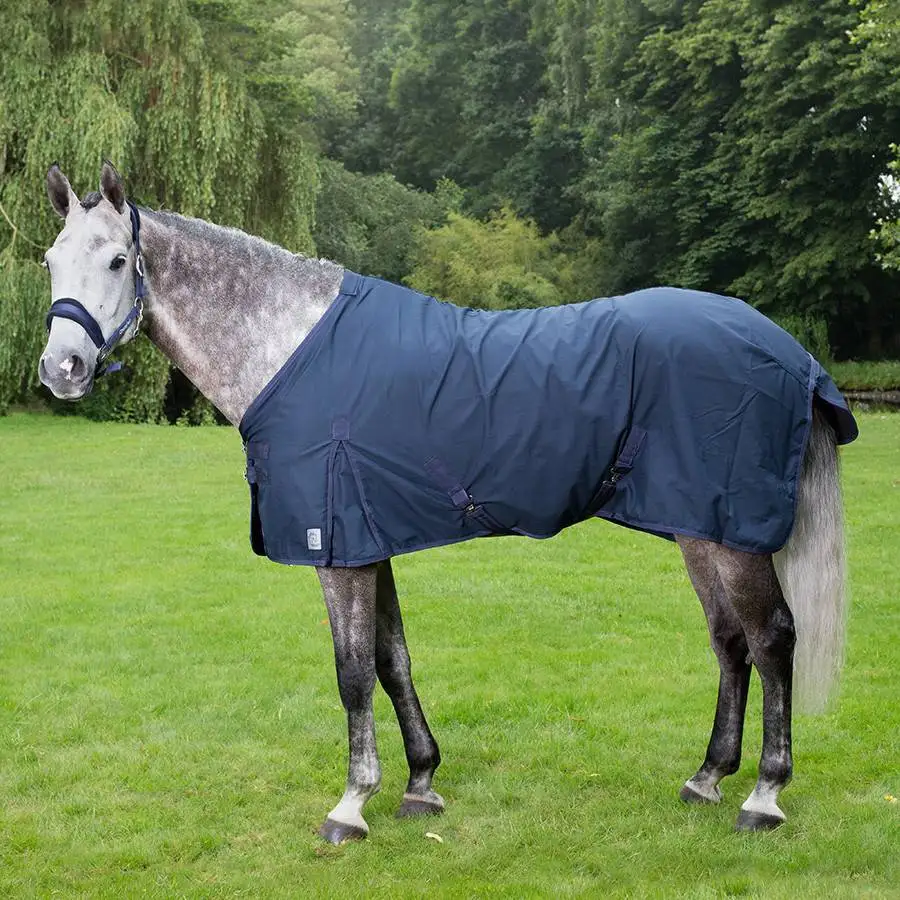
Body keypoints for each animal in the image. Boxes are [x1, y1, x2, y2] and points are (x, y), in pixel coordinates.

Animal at [38, 162, 857, 843]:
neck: (291, 347)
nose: (61, 369)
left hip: (733, 535)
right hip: (698, 528)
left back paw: (763, 796)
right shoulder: (370, 540)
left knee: (772, 639)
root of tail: (789, 350)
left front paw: (351, 806)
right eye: (50, 260)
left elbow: (352, 671)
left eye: (117, 260)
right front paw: (422, 783)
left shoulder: (335, 548)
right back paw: (707, 777)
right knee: (728, 641)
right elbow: (393, 659)